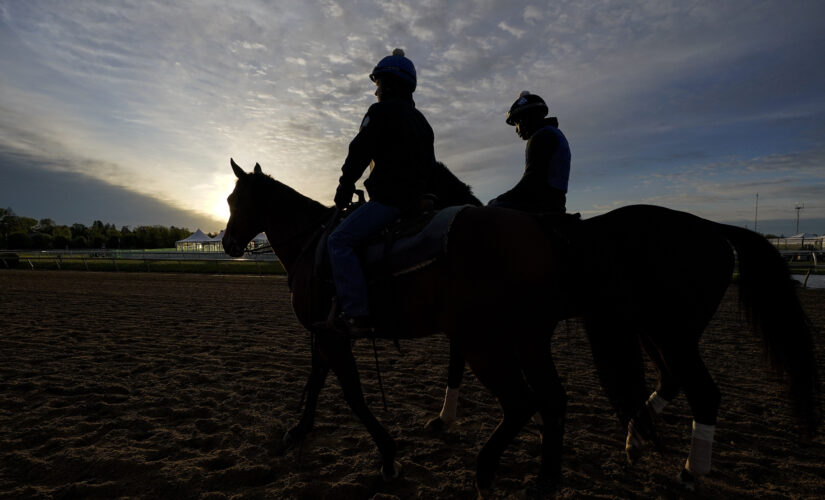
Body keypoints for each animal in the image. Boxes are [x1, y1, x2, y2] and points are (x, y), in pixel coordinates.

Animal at [220, 159, 816, 492]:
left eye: (232, 198)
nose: (225, 242)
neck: (317, 241)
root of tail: (713, 229)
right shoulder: (329, 333)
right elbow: (318, 381)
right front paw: (299, 430)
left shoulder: (340, 333)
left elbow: (353, 394)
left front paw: (393, 456)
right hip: (638, 333)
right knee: (614, 392)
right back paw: (612, 451)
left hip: (661, 332)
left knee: (698, 393)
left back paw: (686, 470)